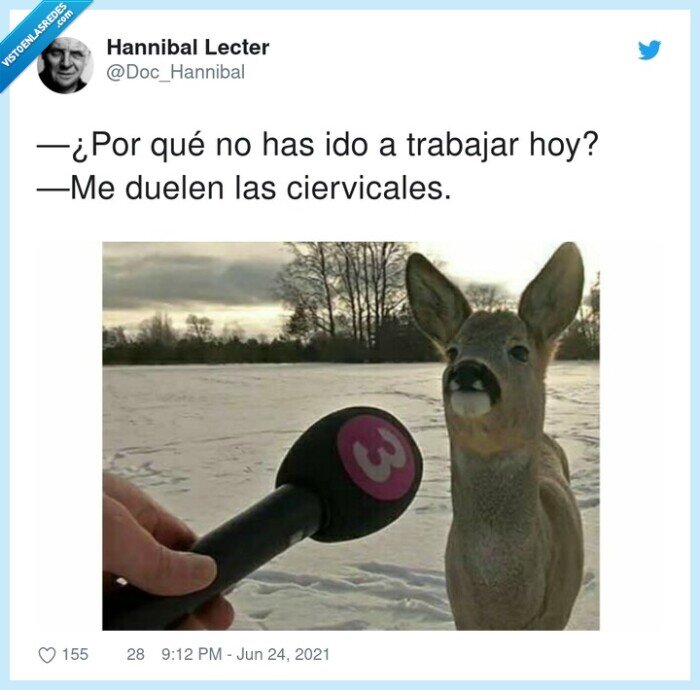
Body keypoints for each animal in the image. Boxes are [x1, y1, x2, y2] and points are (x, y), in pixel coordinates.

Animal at [406, 243, 585, 630]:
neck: (505, 608)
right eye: (452, 350)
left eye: (519, 350)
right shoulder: (463, 617)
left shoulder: (557, 615)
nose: (467, 370)